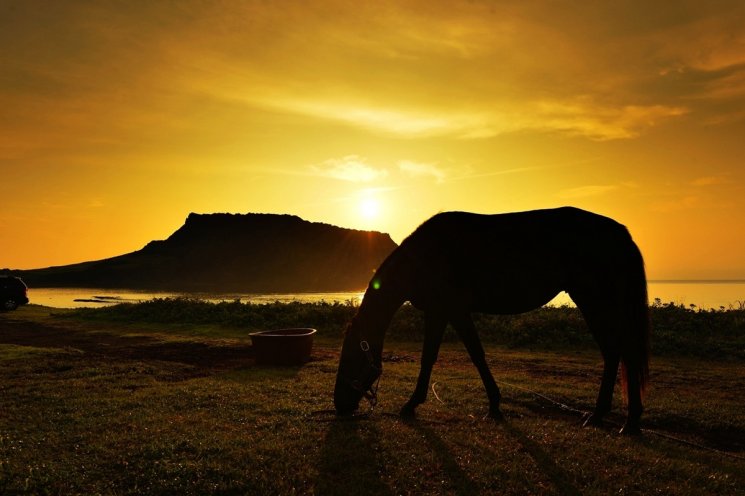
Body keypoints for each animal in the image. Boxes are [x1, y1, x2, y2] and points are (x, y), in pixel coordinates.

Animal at [334, 208, 648, 434]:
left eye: (349, 358)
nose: (338, 405)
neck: (424, 257)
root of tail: (620, 233)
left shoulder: (448, 311)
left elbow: (459, 356)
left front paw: (414, 404)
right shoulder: (445, 313)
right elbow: (453, 356)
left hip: (595, 301)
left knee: (621, 352)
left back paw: (624, 421)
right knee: (615, 353)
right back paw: (606, 416)